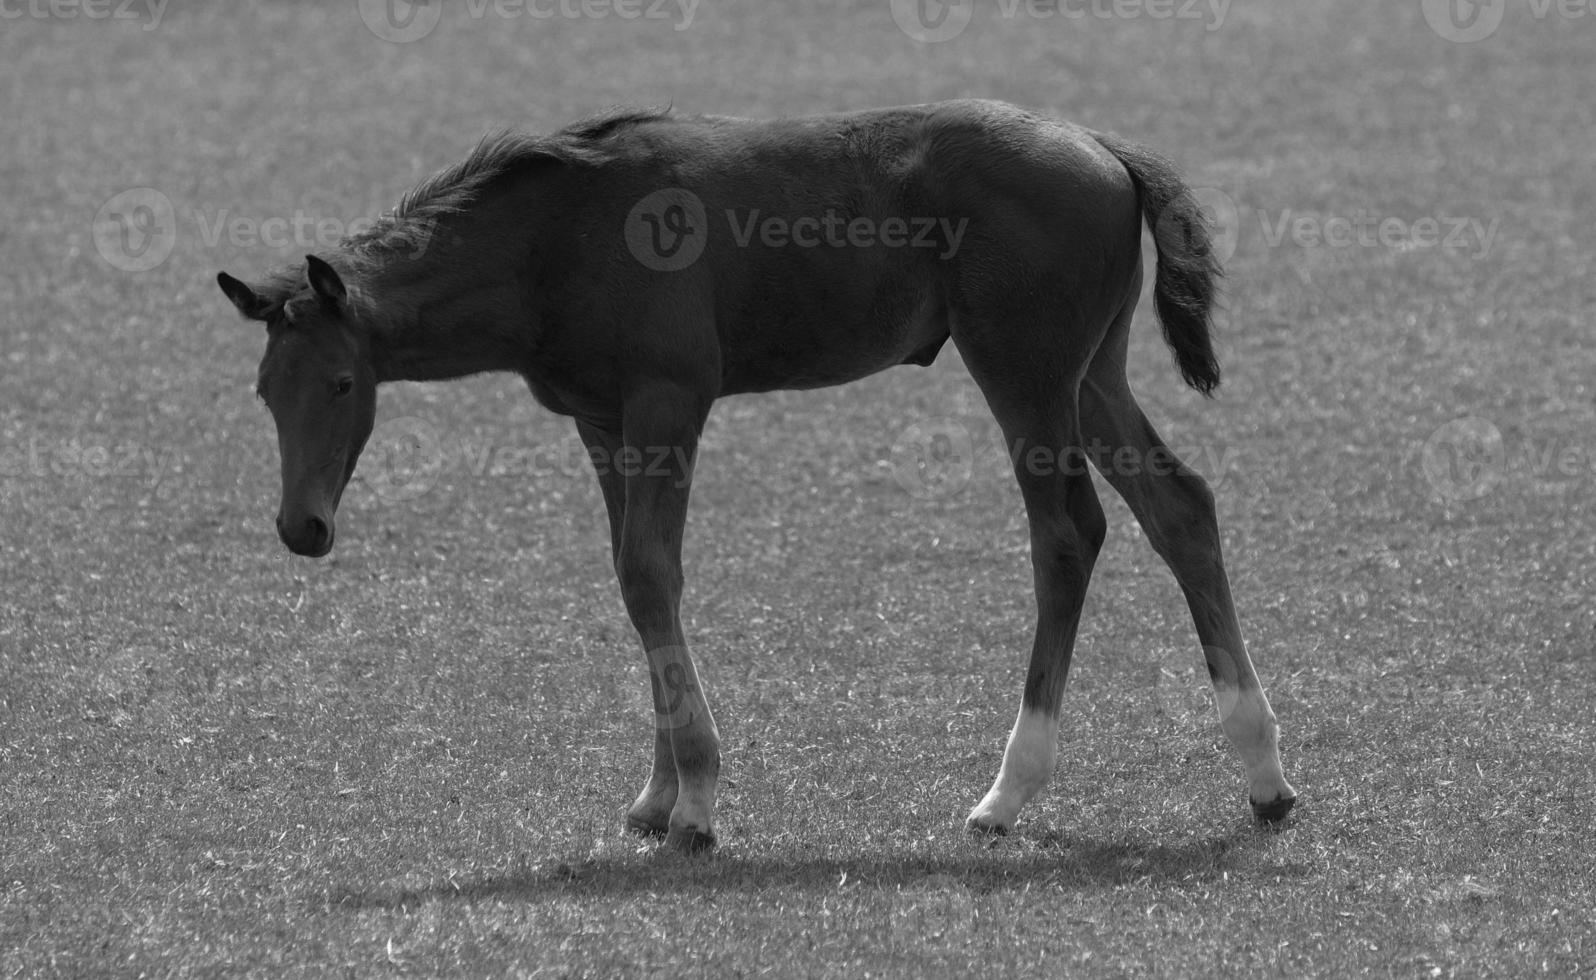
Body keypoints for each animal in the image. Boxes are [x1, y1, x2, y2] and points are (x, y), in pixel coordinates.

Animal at [218, 101, 1295, 855]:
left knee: (1069, 533)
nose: (301, 527)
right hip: (1094, 373)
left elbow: (650, 574)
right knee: (1180, 507)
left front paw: (696, 801)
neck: (552, 242)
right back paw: (1264, 774)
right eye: (265, 391)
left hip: (1024, 372)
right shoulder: (605, 424)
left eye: (344, 383)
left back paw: (1009, 789)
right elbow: (637, 579)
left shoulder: (668, 403)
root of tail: (1104, 148)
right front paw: (657, 794)